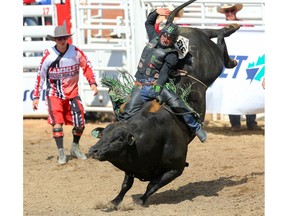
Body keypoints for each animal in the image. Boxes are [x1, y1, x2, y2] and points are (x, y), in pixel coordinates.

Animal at [89, 0, 235, 208]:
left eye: (118, 139)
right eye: (103, 134)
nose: (93, 150)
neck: (149, 136)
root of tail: (183, 30)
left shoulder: (176, 168)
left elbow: (152, 185)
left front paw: (140, 201)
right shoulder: (130, 166)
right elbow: (126, 184)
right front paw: (114, 202)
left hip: (214, 62)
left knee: (218, 42)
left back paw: (231, 36)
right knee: (209, 32)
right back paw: (231, 29)